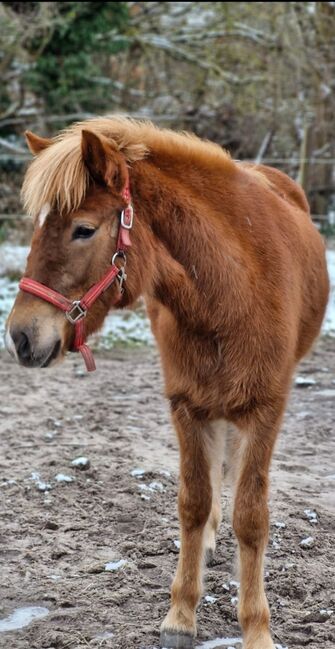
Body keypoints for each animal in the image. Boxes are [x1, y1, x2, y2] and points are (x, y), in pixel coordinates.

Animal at [5, 117, 330, 648]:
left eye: (83, 229)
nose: (21, 336)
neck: (229, 291)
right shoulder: (187, 404)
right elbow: (193, 504)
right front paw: (181, 615)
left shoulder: (264, 408)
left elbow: (252, 516)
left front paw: (256, 628)